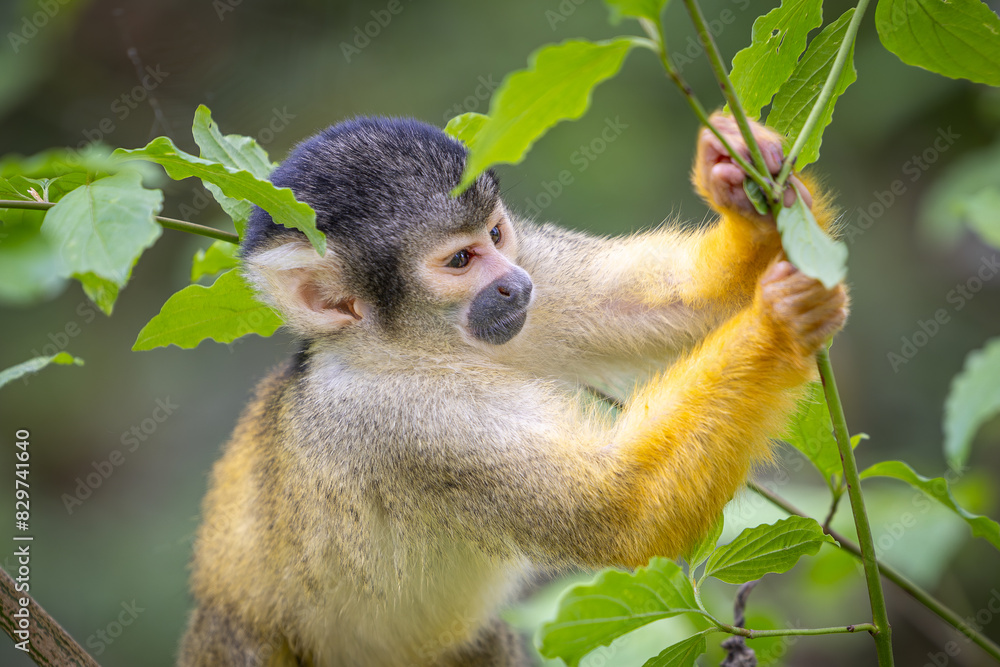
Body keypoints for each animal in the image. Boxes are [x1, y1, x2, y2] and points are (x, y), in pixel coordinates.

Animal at [177, 112, 846, 667]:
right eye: (460, 260)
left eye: (496, 237)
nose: (513, 284)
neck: (409, 348)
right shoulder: (402, 417)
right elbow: (616, 508)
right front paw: (779, 320)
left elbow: (676, 302)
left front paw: (740, 178)